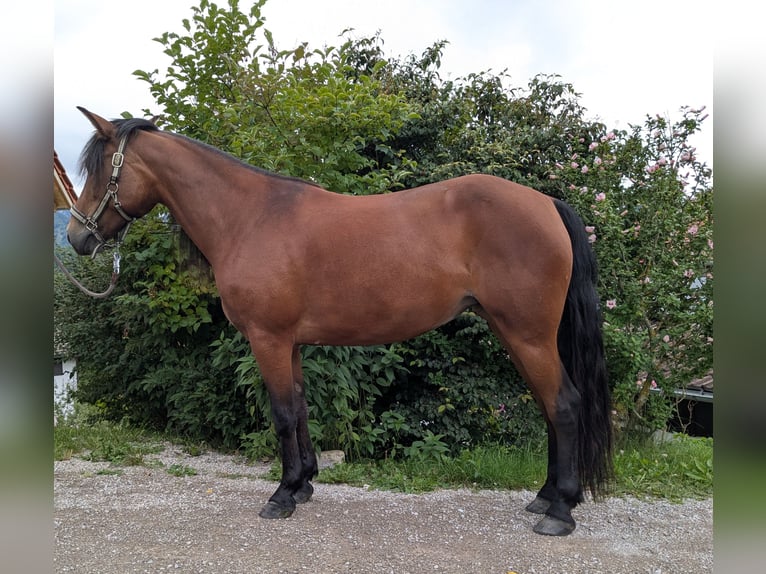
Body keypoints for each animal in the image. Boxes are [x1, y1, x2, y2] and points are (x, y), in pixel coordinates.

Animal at [67, 107, 613, 536]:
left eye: (101, 170)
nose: (76, 237)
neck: (252, 217)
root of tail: (545, 203)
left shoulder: (267, 340)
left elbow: (282, 414)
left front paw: (282, 494)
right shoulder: (289, 343)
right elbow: (300, 408)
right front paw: (304, 484)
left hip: (528, 335)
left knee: (564, 405)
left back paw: (560, 511)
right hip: (516, 334)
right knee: (549, 408)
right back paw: (545, 497)